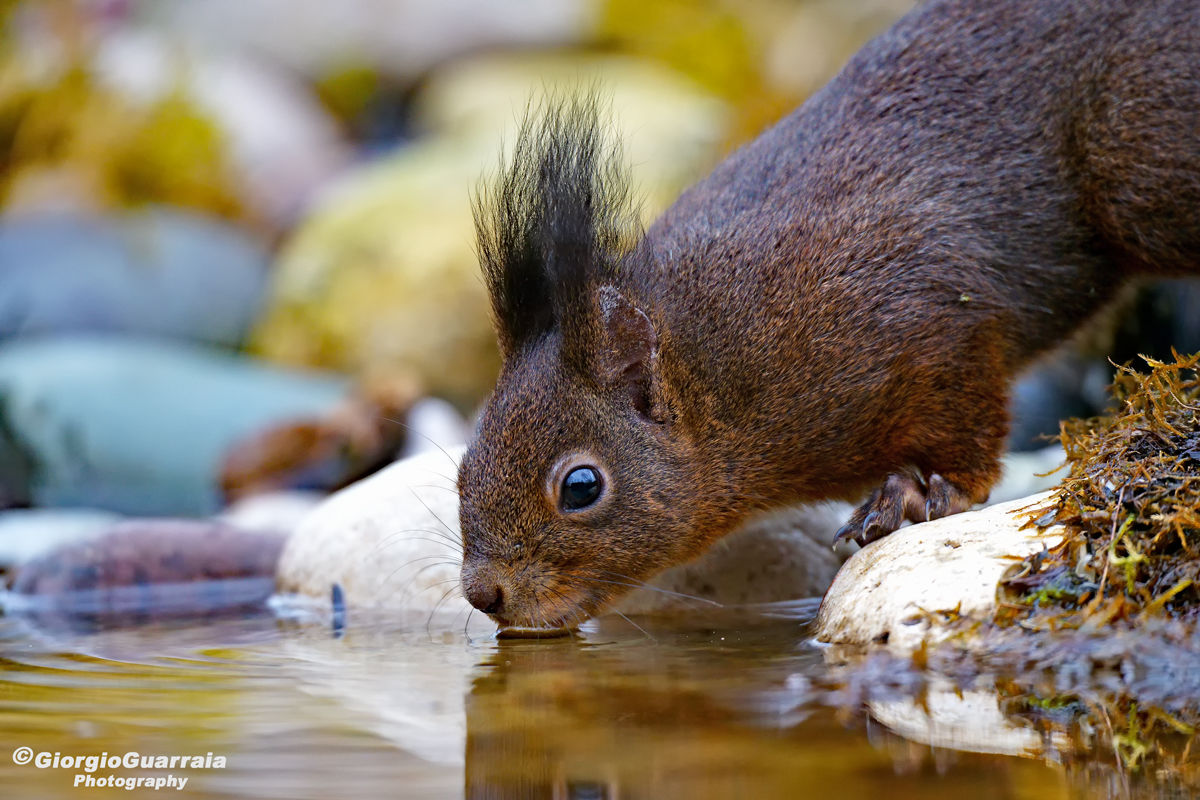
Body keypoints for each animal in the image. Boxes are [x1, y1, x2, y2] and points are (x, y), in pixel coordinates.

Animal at [458, 0, 1200, 630]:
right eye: (463, 465)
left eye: (581, 486)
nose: (483, 594)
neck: (716, 370)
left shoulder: (928, 321)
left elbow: (967, 431)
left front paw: (917, 496)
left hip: (1143, 166)